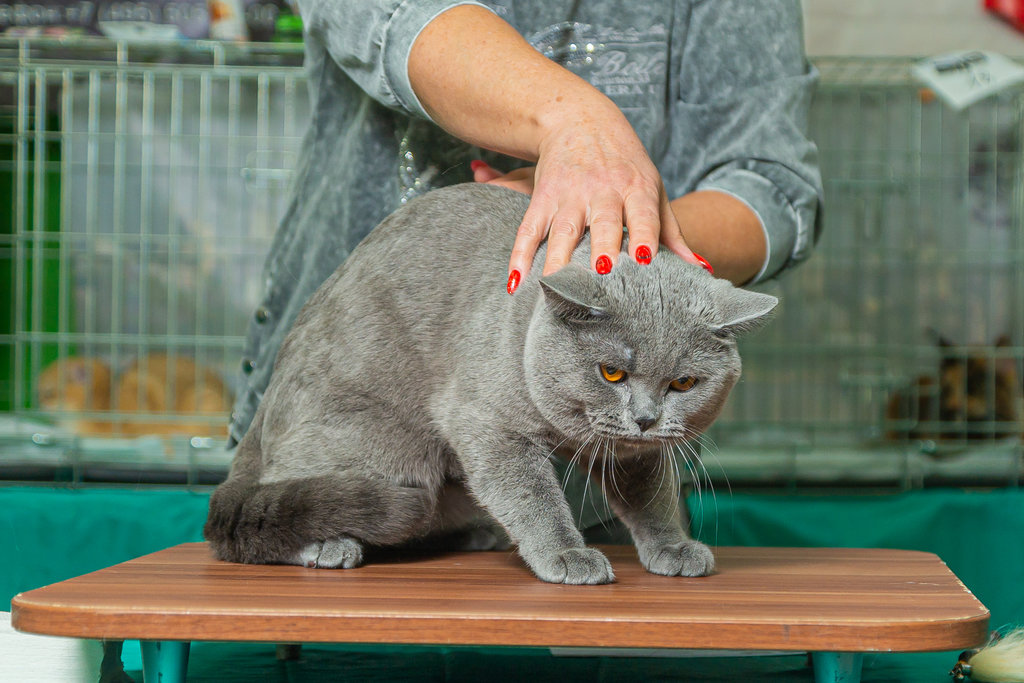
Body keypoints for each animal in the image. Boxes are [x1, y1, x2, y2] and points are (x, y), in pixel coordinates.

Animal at [204, 183, 777, 584]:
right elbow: (532, 496)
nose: (645, 418)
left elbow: (651, 495)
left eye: (684, 382)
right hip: (376, 448)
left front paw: (673, 548)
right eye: (611, 372)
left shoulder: (632, 452)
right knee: (280, 493)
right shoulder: (489, 425)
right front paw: (567, 554)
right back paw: (328, 545)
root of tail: (264, 399)